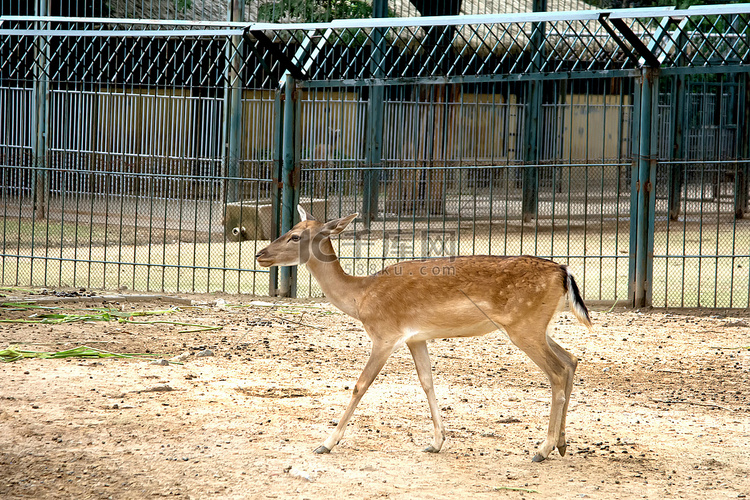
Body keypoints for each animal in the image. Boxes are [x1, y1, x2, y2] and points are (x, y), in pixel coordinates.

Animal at [256, 204, 596, 460]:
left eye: (294, 236)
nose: (260, 254)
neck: (361, 297)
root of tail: (564, 272)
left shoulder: (384, 335)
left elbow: (360, 385)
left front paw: (326, 443)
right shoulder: (416, 339)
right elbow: (427, 383)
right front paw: (436, 442)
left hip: (524, 326)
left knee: (556, 372)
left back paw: (543, 449)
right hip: (535, 325)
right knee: (571, 360)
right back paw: (562, 444)